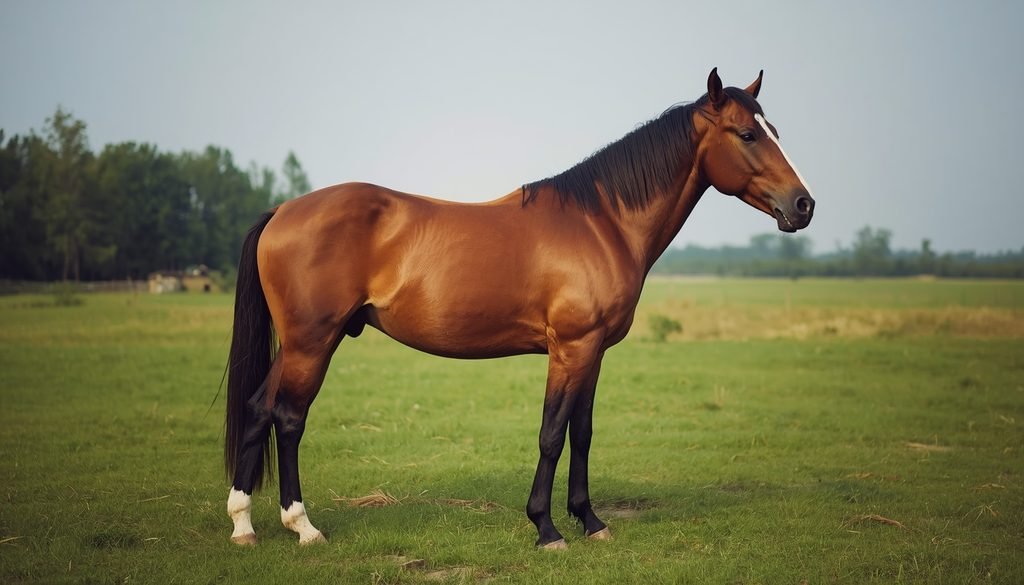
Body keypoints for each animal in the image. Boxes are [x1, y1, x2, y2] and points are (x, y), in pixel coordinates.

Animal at [224, 68, 815, 549]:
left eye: (775, 131)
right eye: (747, 134)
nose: (804, 205)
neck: (600, 222)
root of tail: (283, 211)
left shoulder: (594, 352)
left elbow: (582, 433)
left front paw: (591, 521)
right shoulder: (570, 348)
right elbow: (552, 434)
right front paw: (547, 529)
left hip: (299, 344)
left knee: (257, 409)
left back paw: (243, 525)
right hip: (312, 343)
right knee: (288, 417)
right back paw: (303, 527)